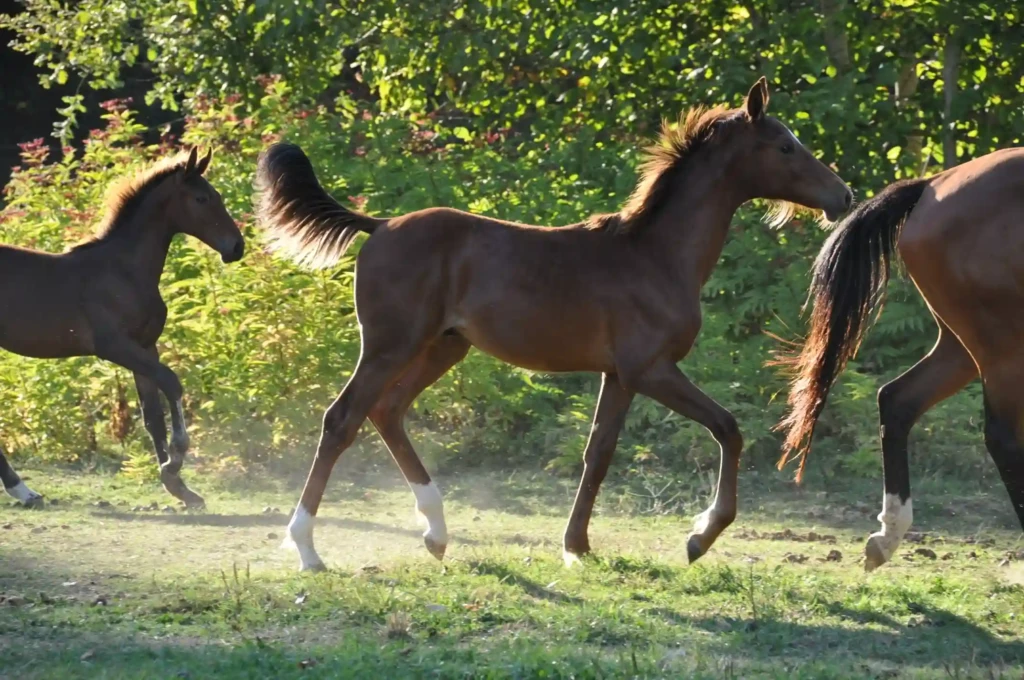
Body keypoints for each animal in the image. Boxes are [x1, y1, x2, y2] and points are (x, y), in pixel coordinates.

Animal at [0, 147, 244, 509]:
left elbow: (152, 416)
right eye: (202, 199)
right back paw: (24, 491)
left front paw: (179, 487)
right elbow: (172, 383)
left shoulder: (145, 346)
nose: (236, 247)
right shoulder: (113, 346)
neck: (125, 270)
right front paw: (175, 459)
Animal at [255, 77, 853, 572]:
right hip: (388, 345)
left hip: (442, 348)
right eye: (784, 146)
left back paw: (436, 534)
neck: (656, 256)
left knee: (388, 411)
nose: (842, 195)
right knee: (342, 419)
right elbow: (727, 427)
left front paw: (576, 546)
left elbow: (599, 452)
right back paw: (306, 548)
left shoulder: (620, 376)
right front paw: (699, 537)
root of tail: (378, 225)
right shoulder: (651, 369)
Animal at [776, 147, 1024, 571]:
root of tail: (931, 185)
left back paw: (887, 536)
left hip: (962, 348)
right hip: (1000, 346)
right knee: (1003, 439)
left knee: (897, 400)